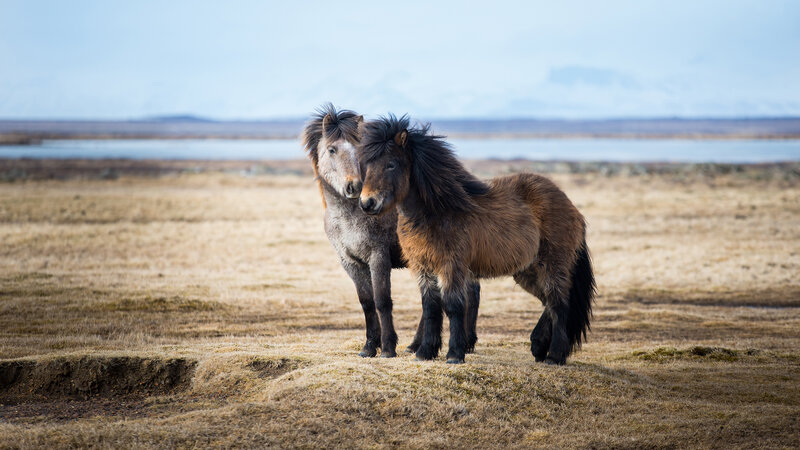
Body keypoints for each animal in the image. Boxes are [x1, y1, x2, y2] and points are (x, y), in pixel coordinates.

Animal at [301, 104, 482, 357]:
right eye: (332, 149)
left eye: (360, 151)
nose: (354, 186)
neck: (350, 216)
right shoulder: (350, 262)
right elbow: (366, 302)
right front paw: (369, 346)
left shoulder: (378, 257)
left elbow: (382, 300)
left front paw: (387, 347)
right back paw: (417, 345)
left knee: (469, 291)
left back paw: (464, 343)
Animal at [356, 115, 595, 364]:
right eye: (367, 165)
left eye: (391, 164)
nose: (367, 203)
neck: (438, 211)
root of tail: (571, 207)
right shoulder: (423, 267)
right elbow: (430, 307)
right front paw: (425, 352)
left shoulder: (451, 266)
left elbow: (453, 306)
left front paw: (454, 354)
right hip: (527, 271)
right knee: (548, 302)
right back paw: (538, 346)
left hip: (553, 265)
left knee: (559, 304)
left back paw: (554, 355)